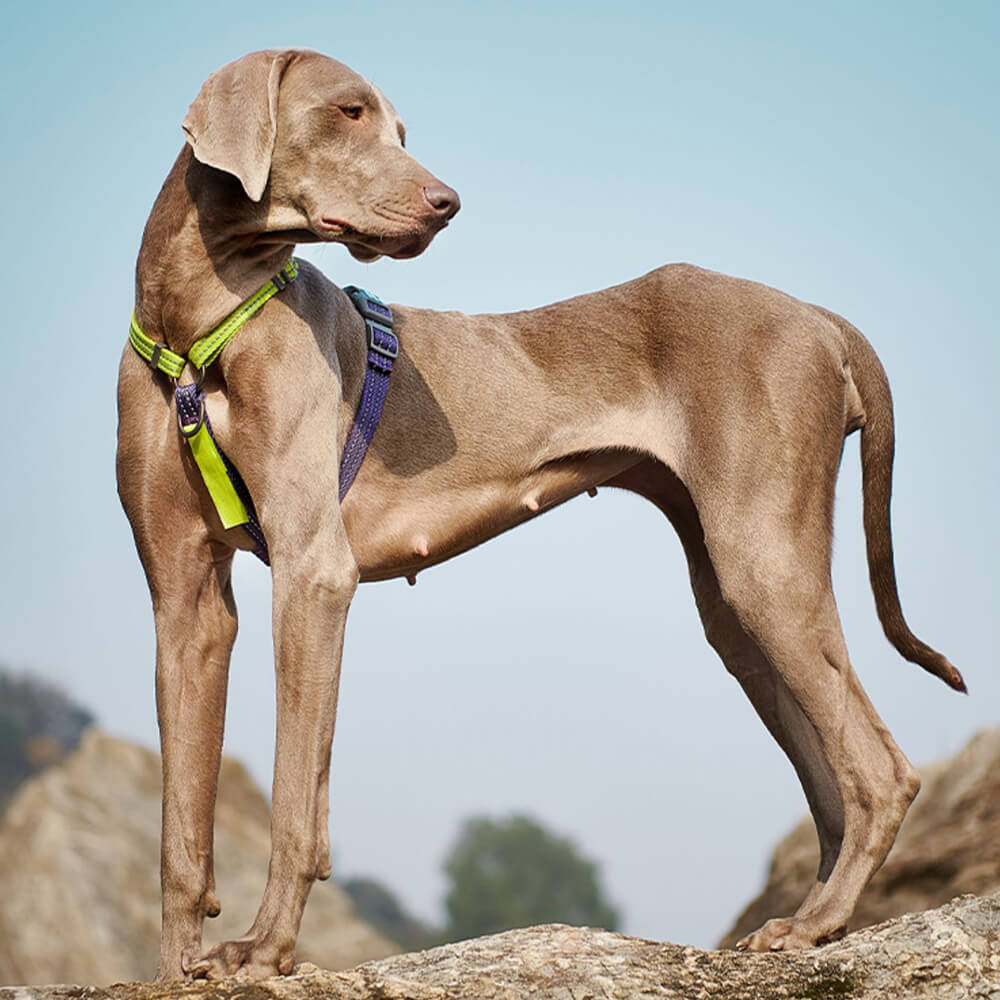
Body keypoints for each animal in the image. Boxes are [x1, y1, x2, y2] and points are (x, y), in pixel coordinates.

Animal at [115, 50, 960, 980]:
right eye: (348, 112)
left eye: (397, 127)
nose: (446, 202)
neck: (199, 327)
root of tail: (819, 317)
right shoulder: (186, 602)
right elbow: (179, 829)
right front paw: (174, 969)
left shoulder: (314, 572)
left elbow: (298, 795)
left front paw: (264, 949)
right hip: (735, 605)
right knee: (831, 780)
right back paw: (818, 920)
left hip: (763, 563)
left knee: (881, 772)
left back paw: (815, 925)